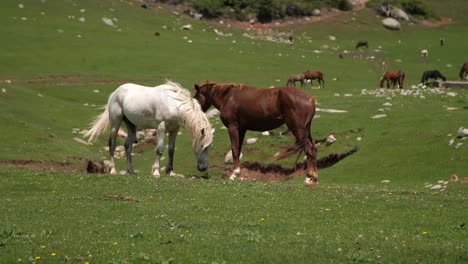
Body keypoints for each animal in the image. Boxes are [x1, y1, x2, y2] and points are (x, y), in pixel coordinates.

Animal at [85, 80, 213, 177]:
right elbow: (160, 149)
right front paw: (156, 172)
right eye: (203, 146)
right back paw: (113, 170)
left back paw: (131, 171)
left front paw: (171, 172)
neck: (173, 104)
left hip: (131, 125)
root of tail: (114, 93)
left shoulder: (174, 130)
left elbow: (171, 150)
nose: (204, 168)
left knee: (127, 145)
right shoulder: (161, 127)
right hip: (115, 123)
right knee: (112, 144)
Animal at [192, 81, 320, 187]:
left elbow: (234, 149)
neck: (228, 97)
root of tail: (310, 99)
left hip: (298, 129)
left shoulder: (233, 127)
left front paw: (235, 174)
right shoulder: (242, 129)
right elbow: (238, 149)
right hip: (305, 131)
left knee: (308, 149)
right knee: (313, 148)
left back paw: (309, 178)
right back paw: (313, 177)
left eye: (196, 98)